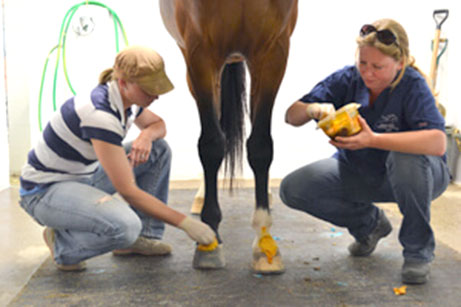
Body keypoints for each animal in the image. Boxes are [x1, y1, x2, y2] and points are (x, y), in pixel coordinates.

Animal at [160, 0, 298, 274]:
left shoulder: (273, 53)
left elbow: (260, 146)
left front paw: (265, 243)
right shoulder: (199, 54)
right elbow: (212, 144)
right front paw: (210, 241)